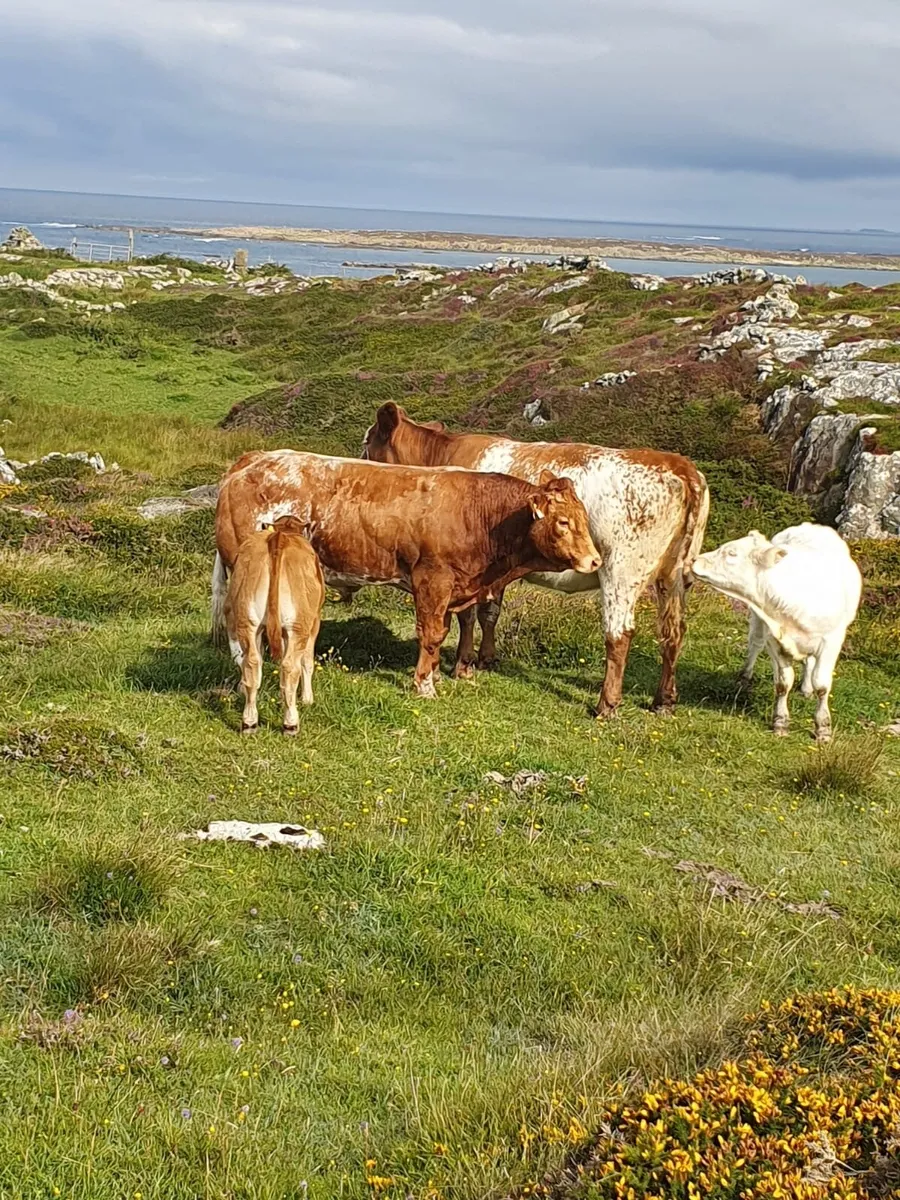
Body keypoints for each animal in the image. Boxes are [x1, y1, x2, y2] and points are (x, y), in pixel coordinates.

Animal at [213, 449, 601, 698]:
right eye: (563, 522)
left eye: (584, 517)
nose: (596, 561)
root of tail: (252, 459)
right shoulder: (432, 580)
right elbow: (431, 634)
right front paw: (424, 685)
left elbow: (446, 630)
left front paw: (437, 675)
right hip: (242, 568)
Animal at [224, 515, 325, 734]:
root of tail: (278, 538)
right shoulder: (314, 621)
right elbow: (307, 661)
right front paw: (307, 699)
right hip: (299, 624)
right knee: (290, 667)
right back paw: (291, 723)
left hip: (247, 620)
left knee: (252, 663)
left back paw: (249, 722)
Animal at [362, 402, 709, 717]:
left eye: (367, 443)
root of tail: (679, 465)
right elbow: (490, 612)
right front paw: (485, 658)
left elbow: (468, 615)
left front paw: (464, 665)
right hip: (675, 576)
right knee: (673, 632)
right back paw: (664, 701)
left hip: (622, 570)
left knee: (619, 634)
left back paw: (606, 705)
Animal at [691, 523, 862, 742]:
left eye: (731, 553)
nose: (694, 560)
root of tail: (809, 526)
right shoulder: (773, 640)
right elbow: (782, 684)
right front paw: (780, 722)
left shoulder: (830, 642)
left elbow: (822, 685)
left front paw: (823, 728)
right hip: (757, 622)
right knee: (754, 644)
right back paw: (744, 678)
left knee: (809, 663)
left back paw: (806, 689)